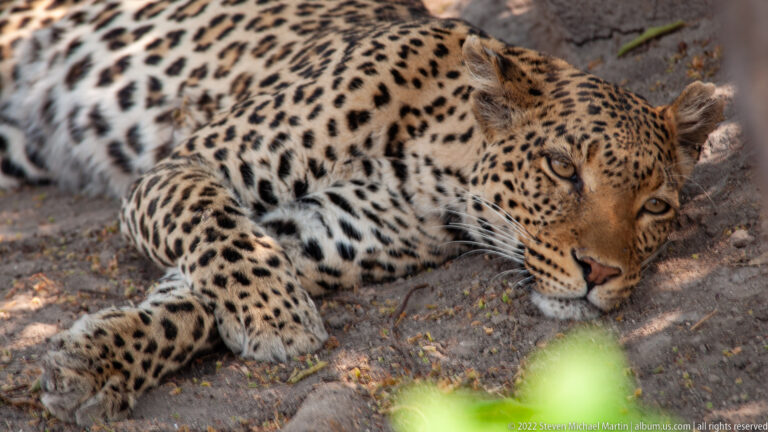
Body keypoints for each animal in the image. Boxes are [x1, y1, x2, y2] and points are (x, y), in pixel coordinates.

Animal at [0, 0, 724, 425]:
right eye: (562, 167)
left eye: (655, 206)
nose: (600, 273)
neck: (438, 167)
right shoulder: (184, 167)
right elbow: (219, 233)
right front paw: (277, 319)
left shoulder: (305, 235)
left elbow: (190, 304)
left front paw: (95, 366)